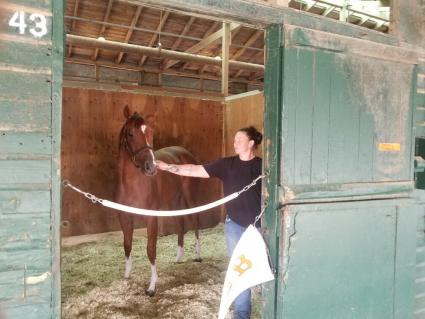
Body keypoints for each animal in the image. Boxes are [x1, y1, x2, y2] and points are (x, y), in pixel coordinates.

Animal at [114, 107, 200, 298]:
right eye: (130, 133)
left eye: (151, 132)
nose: (151, 167)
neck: (133, 184)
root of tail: (185, 153)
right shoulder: (125, 217)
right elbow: (127, 245)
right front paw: (126, 276)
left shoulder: (151, 218)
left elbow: (151, 249)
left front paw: (152, 286)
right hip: (174, 202)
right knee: (180, 224)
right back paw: (178, 257)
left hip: (190, 199)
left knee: (195, 222)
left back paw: (198, 255)